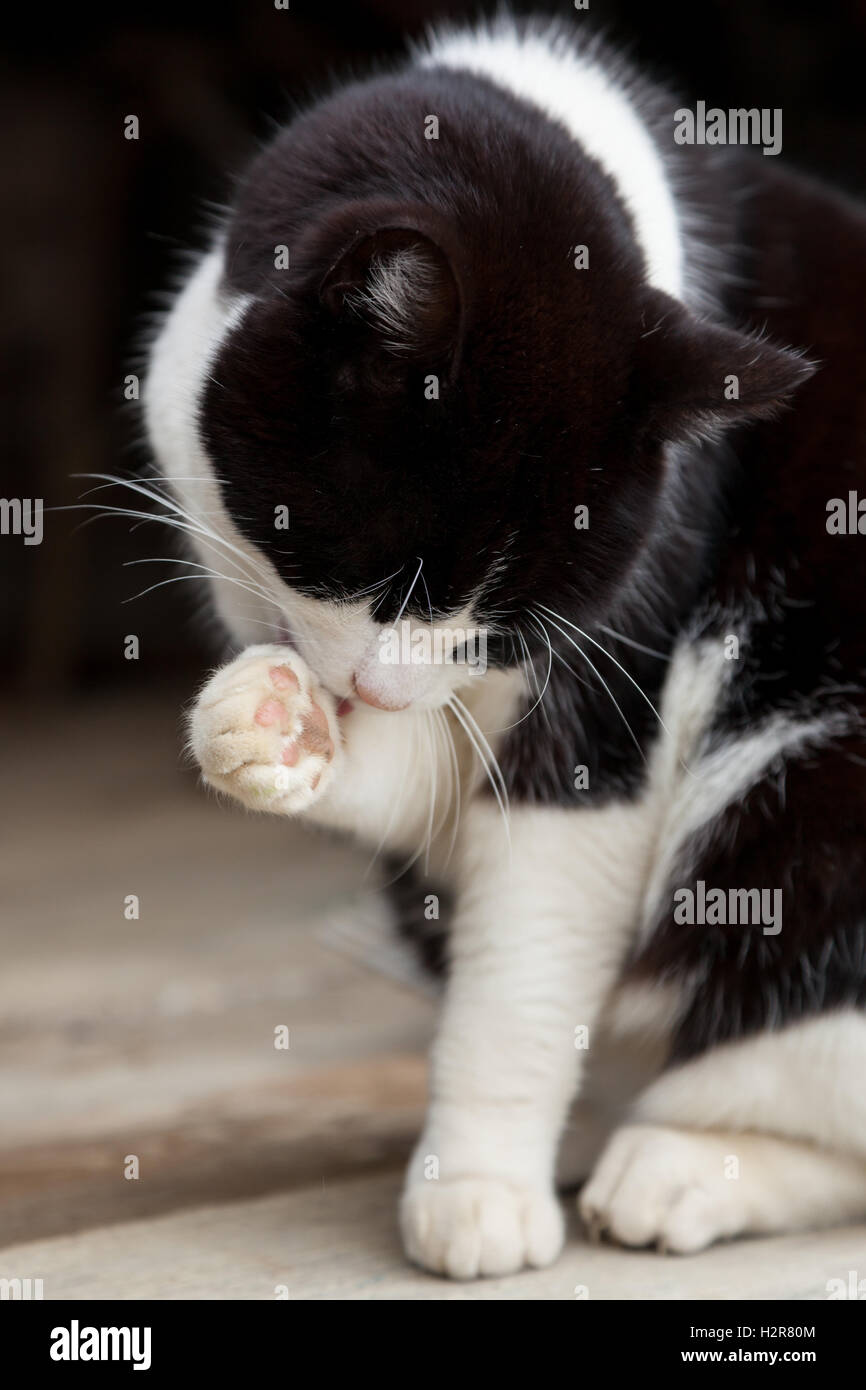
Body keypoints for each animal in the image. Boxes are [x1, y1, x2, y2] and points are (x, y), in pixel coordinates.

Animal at [142, 16, 866, 1273]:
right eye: (384, 568)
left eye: (512, 615)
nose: (381, 690)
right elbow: (423, 786)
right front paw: (276, 729)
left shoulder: (608, 682)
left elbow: (526, 964)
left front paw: (477, 1189)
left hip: (814, 809)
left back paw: (678, 1167)